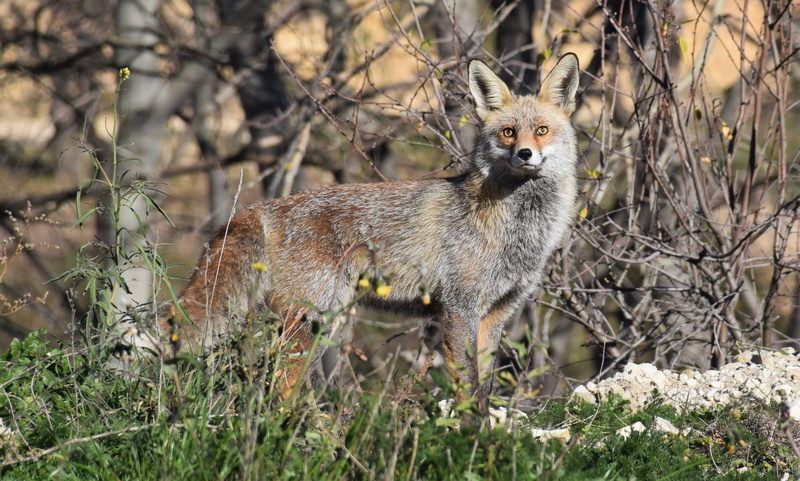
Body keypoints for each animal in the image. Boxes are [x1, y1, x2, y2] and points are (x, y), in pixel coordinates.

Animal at [162, 54, 581, 403]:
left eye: (541, 130)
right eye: (508, 132)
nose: (525, 154)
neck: (519, 232)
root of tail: (262, 207)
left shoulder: (496, 314)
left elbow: (487, 385)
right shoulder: (460, 309)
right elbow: (469, 391)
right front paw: (473, 438)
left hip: (321, 321)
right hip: (314, 316)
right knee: (280, 381)